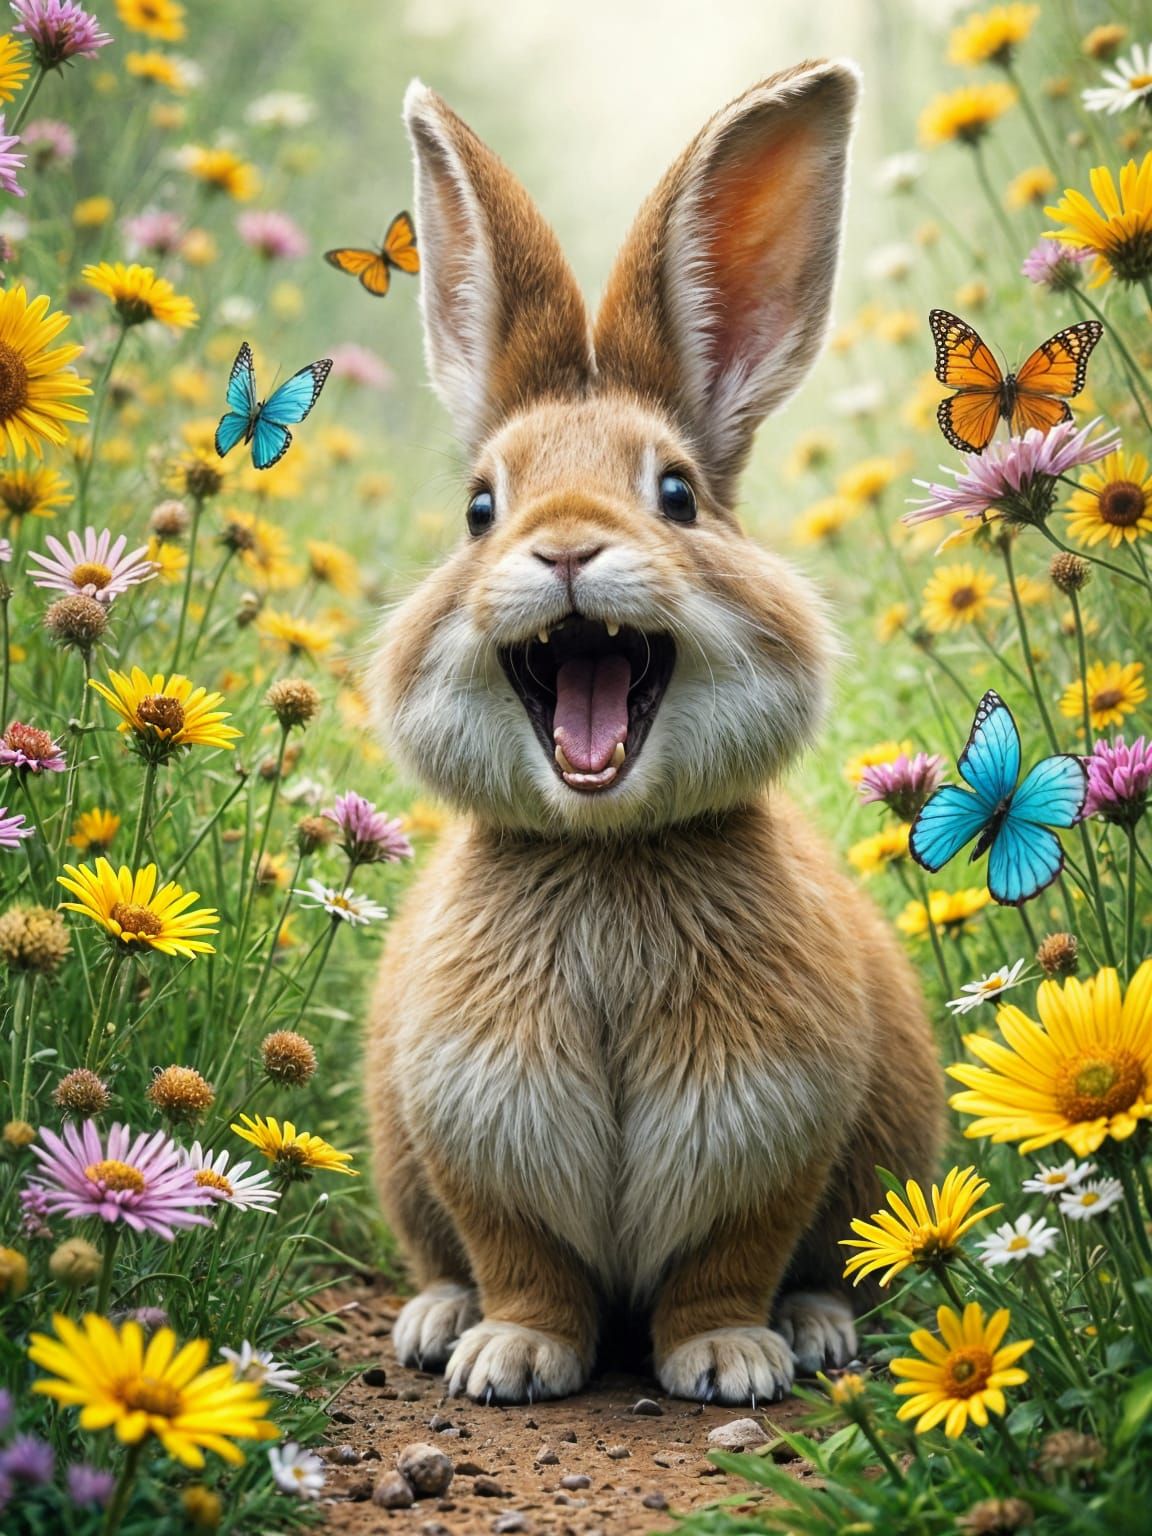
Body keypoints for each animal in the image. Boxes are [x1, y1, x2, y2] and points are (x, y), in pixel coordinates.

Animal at [365, 60, 944, 1407]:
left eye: (676, 493)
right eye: (480, 508)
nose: (568, 547)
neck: (607, 854)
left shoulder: (771, 1128)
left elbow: (722, 1261)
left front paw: (726, 1359)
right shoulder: (476, 1130)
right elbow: (523, 1260)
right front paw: (513, 1356)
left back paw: (814, 1329)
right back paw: (438, 1321)